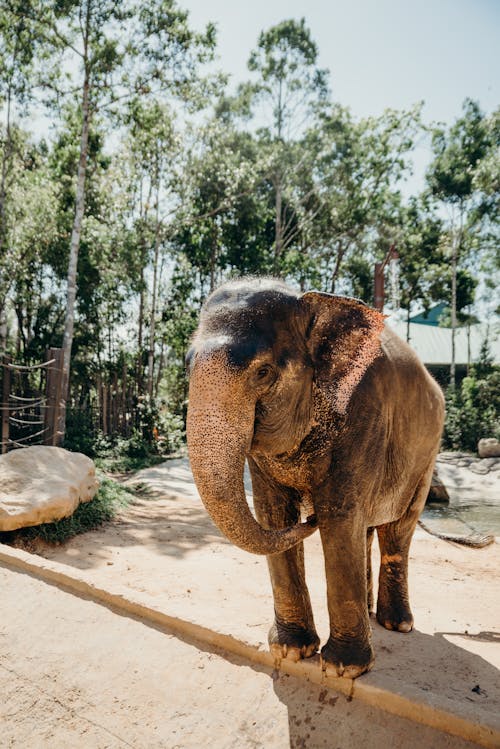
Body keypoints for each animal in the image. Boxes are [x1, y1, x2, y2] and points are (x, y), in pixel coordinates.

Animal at [186, 274, 444, 676]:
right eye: (187, 364)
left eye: (263, 372)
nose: (309, 518)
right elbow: (274, 514)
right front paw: (292, 651)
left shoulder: (365, 415)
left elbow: (339, 515)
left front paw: (342, 668)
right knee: (366, 530)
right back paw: (370, 613)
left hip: (426, 458)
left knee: (397, 531)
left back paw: (396, 624)